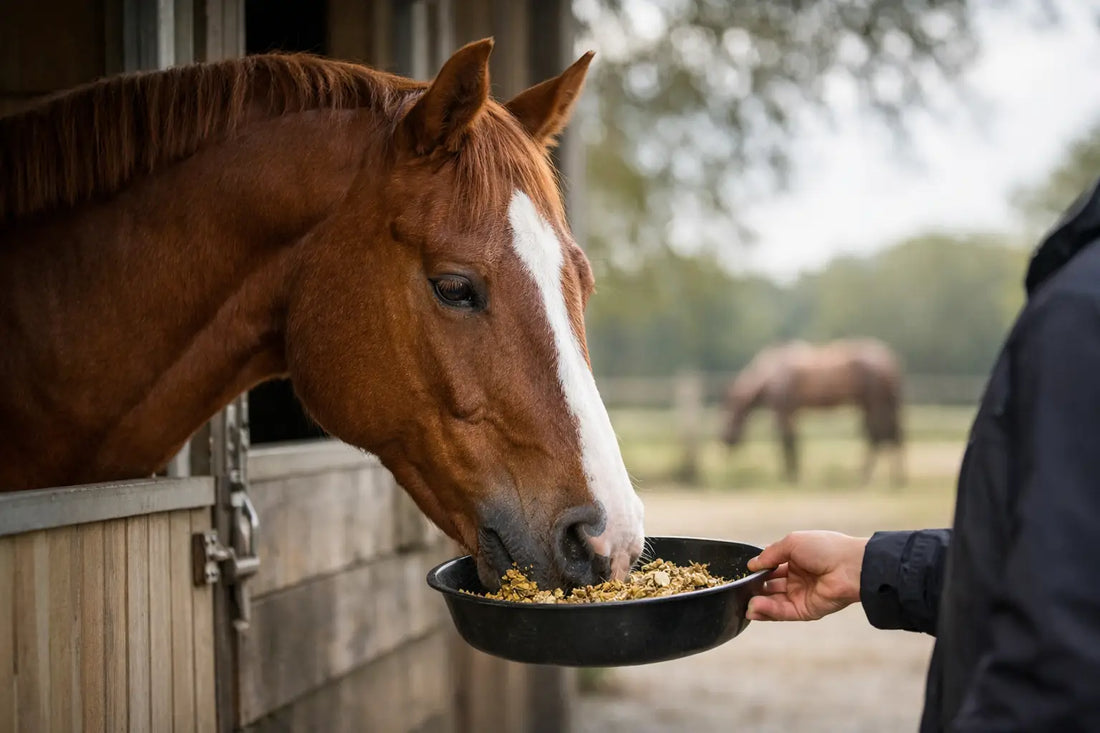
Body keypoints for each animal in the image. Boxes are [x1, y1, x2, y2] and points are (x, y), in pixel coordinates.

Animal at [720, 339, 905, 485]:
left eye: (729, 410)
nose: (725, 440)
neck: (771, 374)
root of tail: (887, 358)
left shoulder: (783, 412)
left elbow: (786, 441)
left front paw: (789, 477)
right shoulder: (792, 413)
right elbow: (793, 441)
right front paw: (793, 475)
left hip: (876, 404)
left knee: (879, 437)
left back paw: (869, 477)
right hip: (875, 405)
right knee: (889, 435)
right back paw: (892, 479)